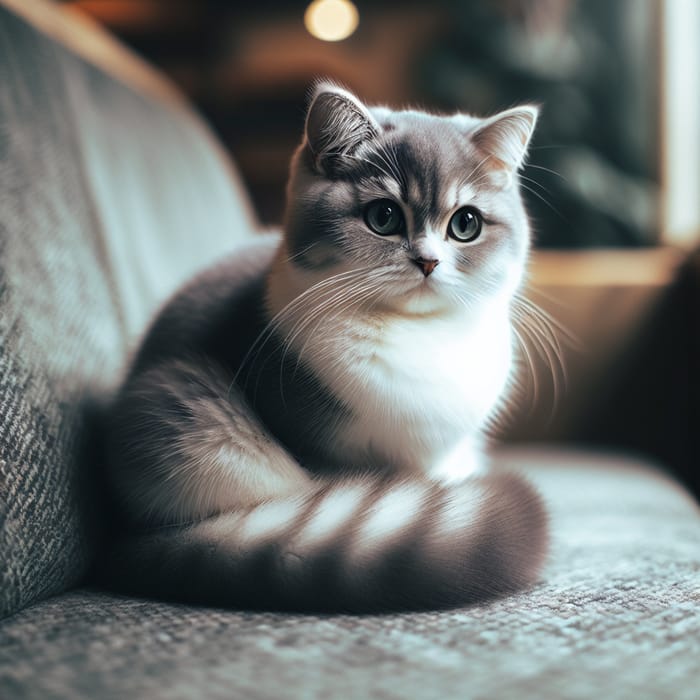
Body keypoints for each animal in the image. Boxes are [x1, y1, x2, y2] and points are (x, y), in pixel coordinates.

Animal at [100, 80, 548, 608]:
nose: (429, 262)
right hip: (182, 408)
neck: (414, 332)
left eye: (466, 224)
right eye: (383, 216)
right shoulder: (313, 450)